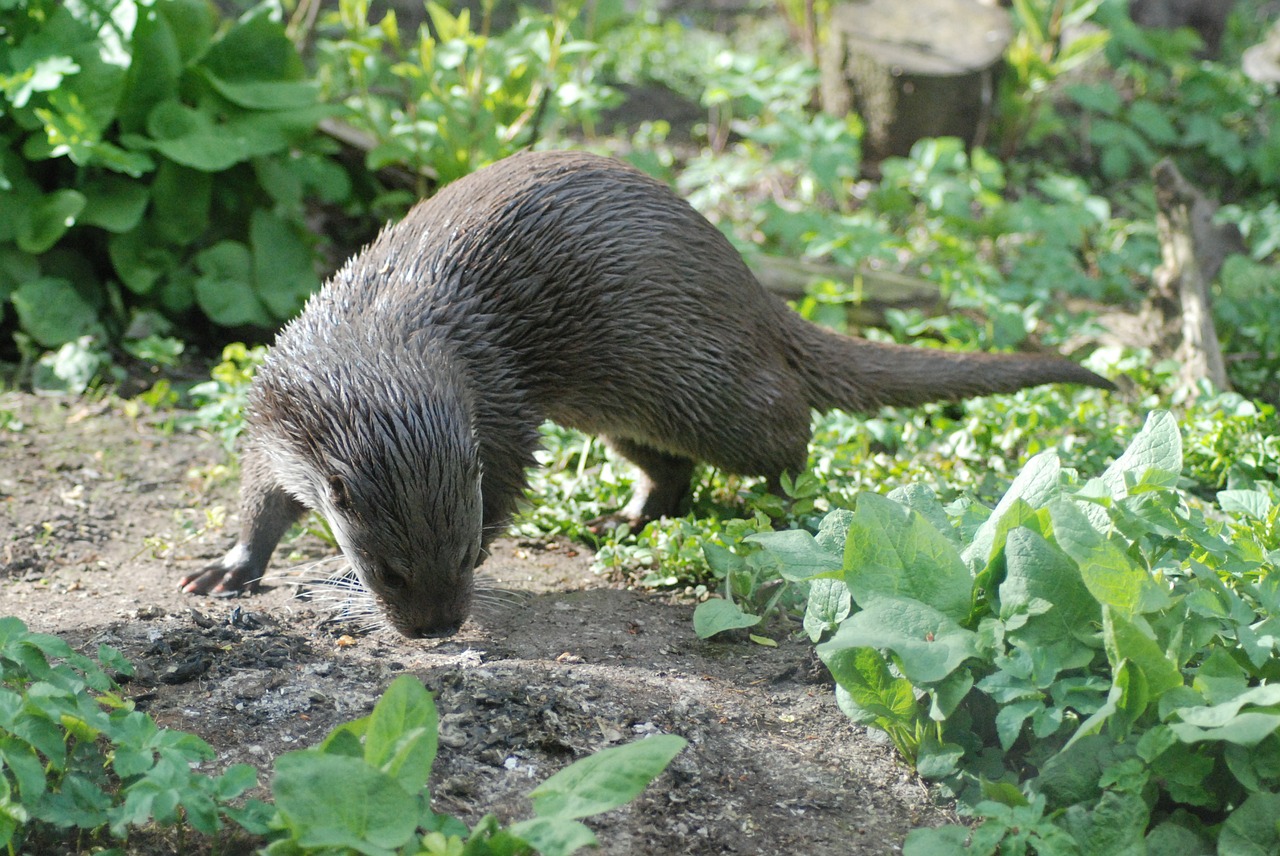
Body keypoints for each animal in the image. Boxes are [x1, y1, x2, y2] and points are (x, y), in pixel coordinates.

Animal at [177, 150, 1111, 637]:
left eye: (462, 551)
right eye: (388, 567)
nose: (439, 628)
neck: (375, 326)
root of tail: (752, 289)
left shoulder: (501, 405)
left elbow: (507, 478)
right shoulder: (272, 416)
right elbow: (261, 501)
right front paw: (230, 570)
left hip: (702, 381)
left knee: (787, 425)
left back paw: (790, 507)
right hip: (622, 408)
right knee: (672, 470)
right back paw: (624, 518)